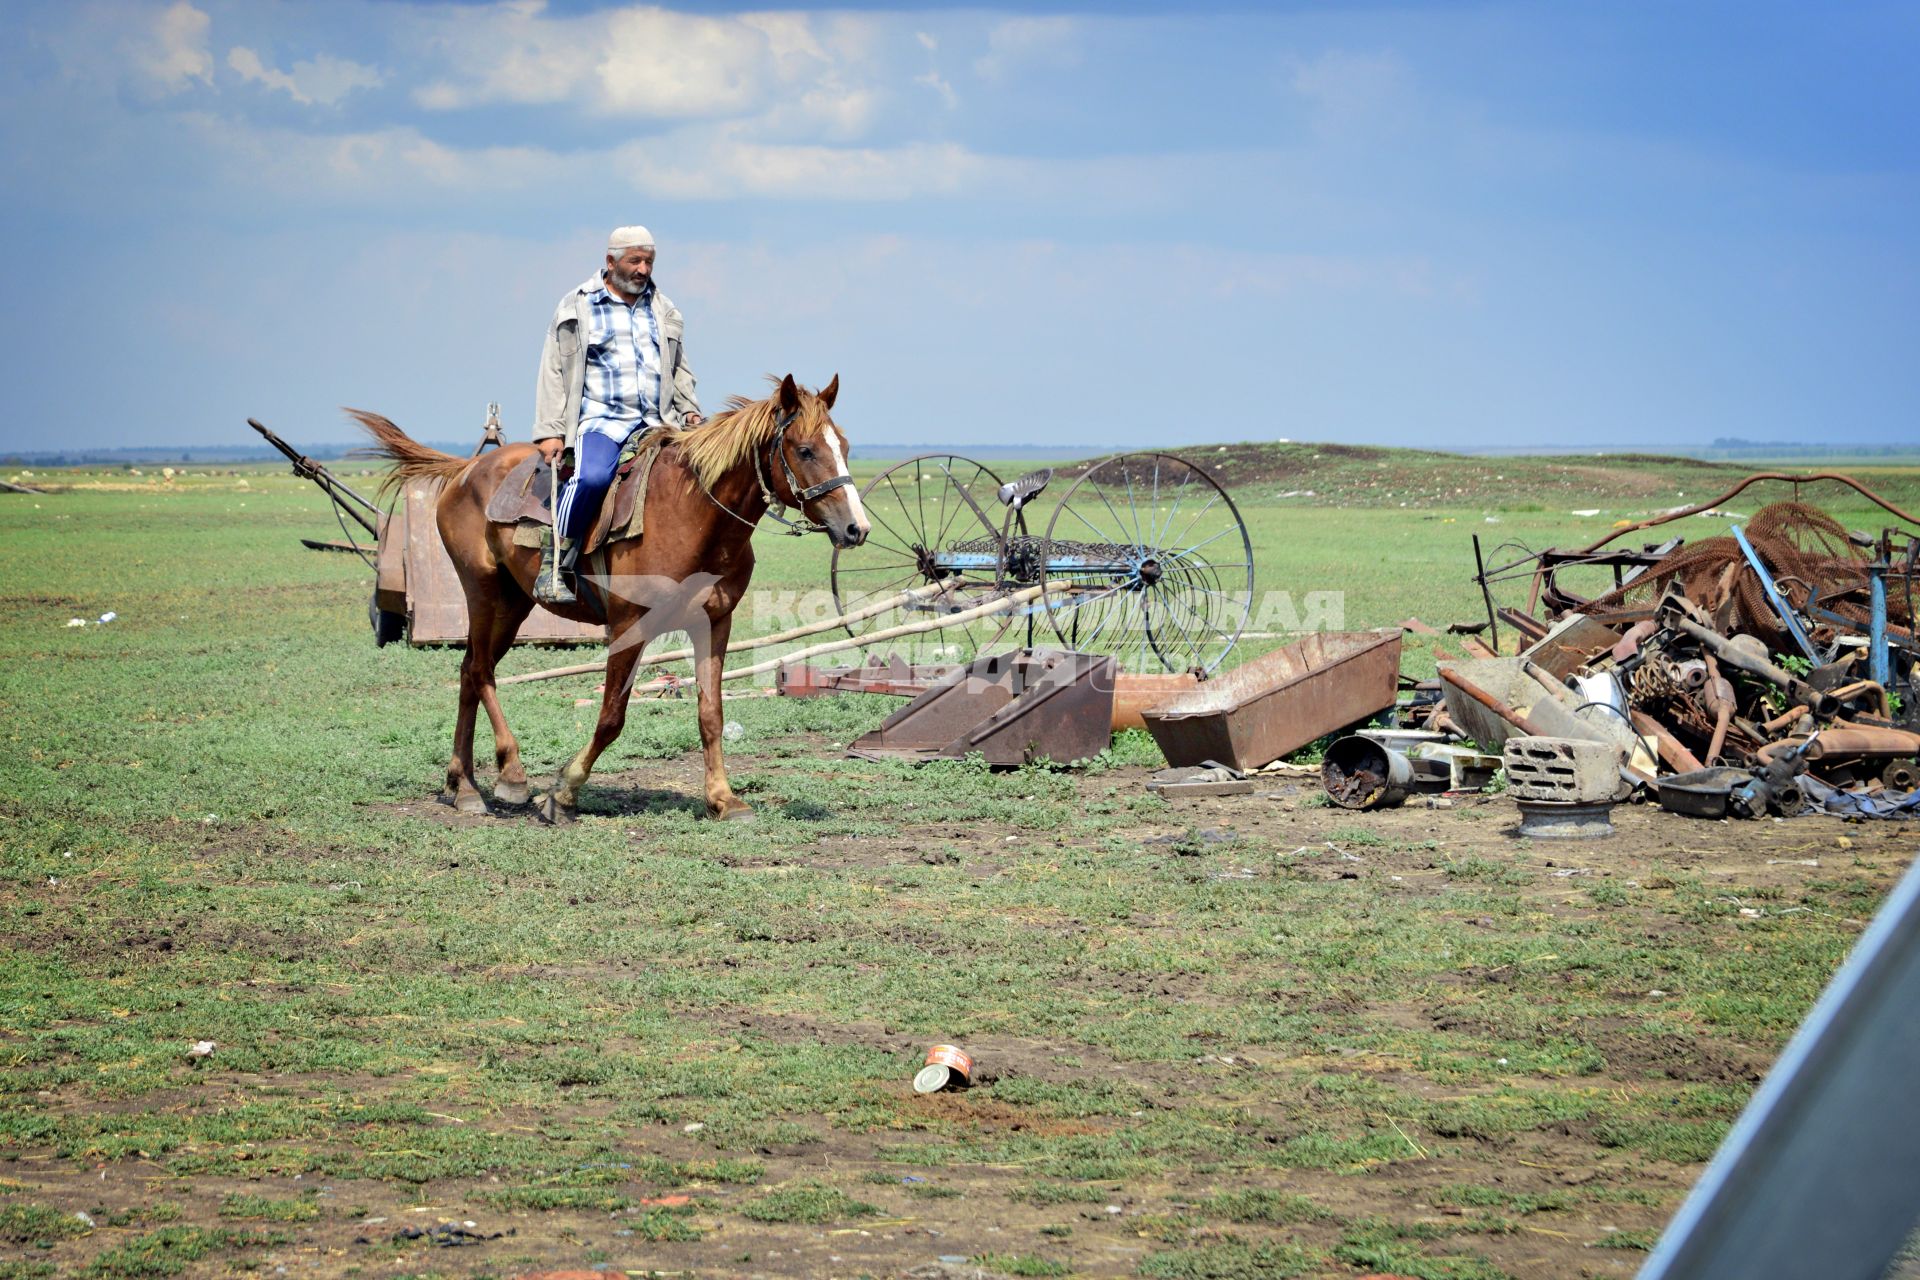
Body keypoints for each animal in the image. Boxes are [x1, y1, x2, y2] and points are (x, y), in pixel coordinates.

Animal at [353, 376, 871, 825]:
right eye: (805, 450)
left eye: (844, 448)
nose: (856, 528)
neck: (690, 514)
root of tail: (467, 470)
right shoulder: (627, 625)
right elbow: (611, 718)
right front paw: (563, 792)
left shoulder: (714, 623)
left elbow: (711, 713)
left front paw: (724, 799)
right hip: (482, 590)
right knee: (479, 671)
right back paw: (510, 776)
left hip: (515, 601)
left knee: (469, 673)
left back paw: (462, 785)